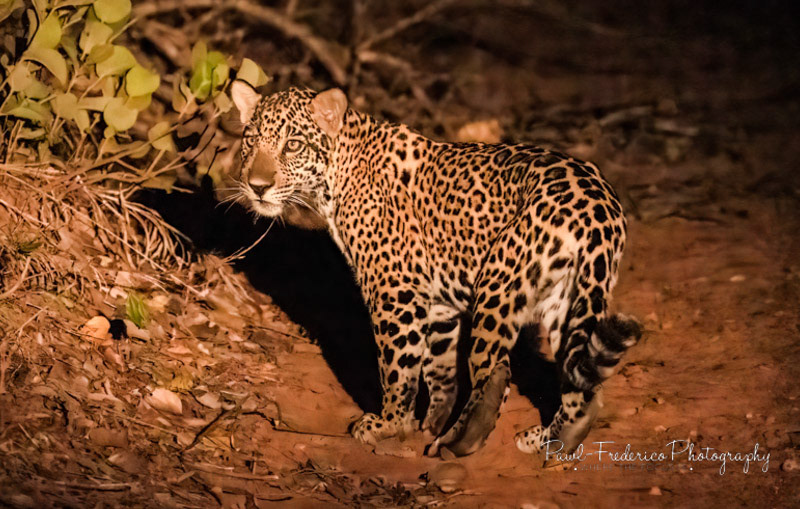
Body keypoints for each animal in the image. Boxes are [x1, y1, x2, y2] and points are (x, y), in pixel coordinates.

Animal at [229, 81, 642, 458]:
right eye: (250, 140)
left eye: (293, 145)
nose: (257, 186)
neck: (334, 180)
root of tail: (599, 206)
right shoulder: (440, 303)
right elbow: (439, 368)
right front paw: (428, 421)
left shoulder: (395, 294)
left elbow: (398, 367)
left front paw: (389, 424)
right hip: (570, 300)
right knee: (580, 382)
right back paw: (552, 440)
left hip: (500, 282)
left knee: (495, 374)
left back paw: (457, 442)